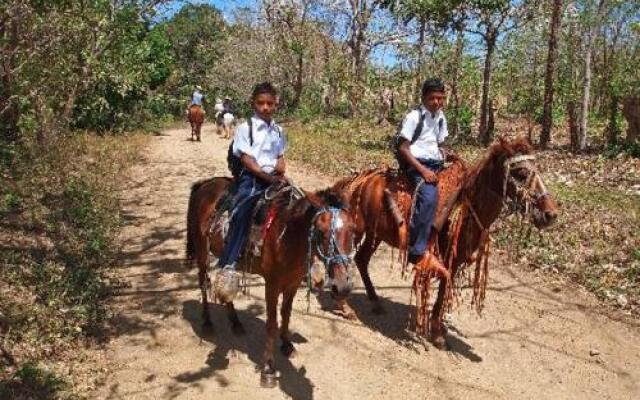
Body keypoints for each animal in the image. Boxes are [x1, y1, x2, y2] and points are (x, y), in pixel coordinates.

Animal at [185, 177, 358, 386]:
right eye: (320, 231)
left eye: (352, 230)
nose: (342, 287)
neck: (287, 236)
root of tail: (205, 183)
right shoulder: (272, 284)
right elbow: (271, 323)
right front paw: (267, 368)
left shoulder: (292, 282)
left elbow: (286, 314)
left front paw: (287, 345)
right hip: (202, 252)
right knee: (204, 282)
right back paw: (207, 323)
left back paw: (235, 322)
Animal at [336, 137, 560, 346]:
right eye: (521, 173)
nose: (550, 214)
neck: (469, 208)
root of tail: (361, 178)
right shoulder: (446, 260)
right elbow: (443, 290)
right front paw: (436, 332)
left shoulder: (456, 260)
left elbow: (444, 292)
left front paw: (438, 327)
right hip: (357, 229)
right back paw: (344, 306)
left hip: (375, 234)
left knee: (361, 260)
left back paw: (374, 301)